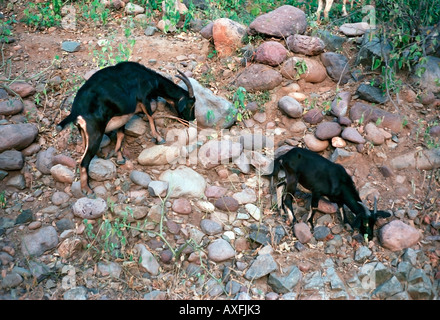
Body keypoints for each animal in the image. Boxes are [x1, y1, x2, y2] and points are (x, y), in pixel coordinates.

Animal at [56, 61, 196, 194]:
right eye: (191, 104)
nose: (191, 119)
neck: (148, 77)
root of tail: (76, 111)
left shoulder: (123, 115)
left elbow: (121, 134)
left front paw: (119, 158)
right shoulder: (143, 98)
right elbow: (151, 117)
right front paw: (159, 138)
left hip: (85, 133)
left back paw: (101, 155)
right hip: (96, 132)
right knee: (83, 161)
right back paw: (88, 190)